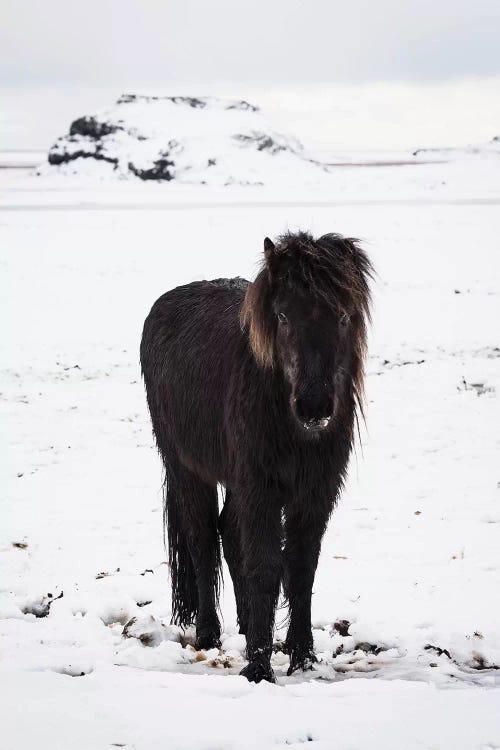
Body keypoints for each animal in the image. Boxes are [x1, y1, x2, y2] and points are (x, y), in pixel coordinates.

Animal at [140, 232, 372, 684]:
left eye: (342, 317)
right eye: (282, 316)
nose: (314, 406)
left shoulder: (314, 494)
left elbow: (300, 570)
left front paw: (302, 657)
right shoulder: (260, 488)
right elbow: (265, 565)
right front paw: (259, 668)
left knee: (229, 533)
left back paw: (248, 625)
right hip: (185, 468)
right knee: (202, 540)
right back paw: (209, 634)